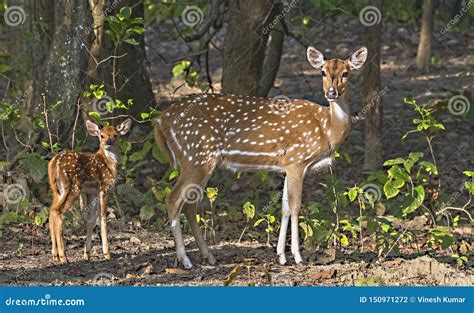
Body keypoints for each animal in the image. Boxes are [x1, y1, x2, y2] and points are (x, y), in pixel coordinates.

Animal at [48, 118, 131, 262]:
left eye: (116, 135)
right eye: (102, 135)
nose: (108, 142)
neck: (109, 164)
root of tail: (54, 164)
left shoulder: (92, 192)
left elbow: (91, 219)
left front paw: (87, 254)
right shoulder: (104, 187)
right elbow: (103, 217)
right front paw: (107, 254)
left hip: (56, 190)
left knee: (51, 210)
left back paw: (54, 255)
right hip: (73, 188)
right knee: (58, 212)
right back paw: (63, 256)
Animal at [155, 46, 366, 268]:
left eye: (346, 73)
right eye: (322, 72)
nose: (331, 93)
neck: (327, 129)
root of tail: (160, 121)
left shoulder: (287, 165)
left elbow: (284, 207)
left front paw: (281, 256)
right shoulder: (297, 160)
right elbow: (295, 206)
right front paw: (298, 257)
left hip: (200, 161)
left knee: (190, 205)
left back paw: (208, 256)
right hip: (195, 156)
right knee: (173, 199)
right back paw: (185, 260)